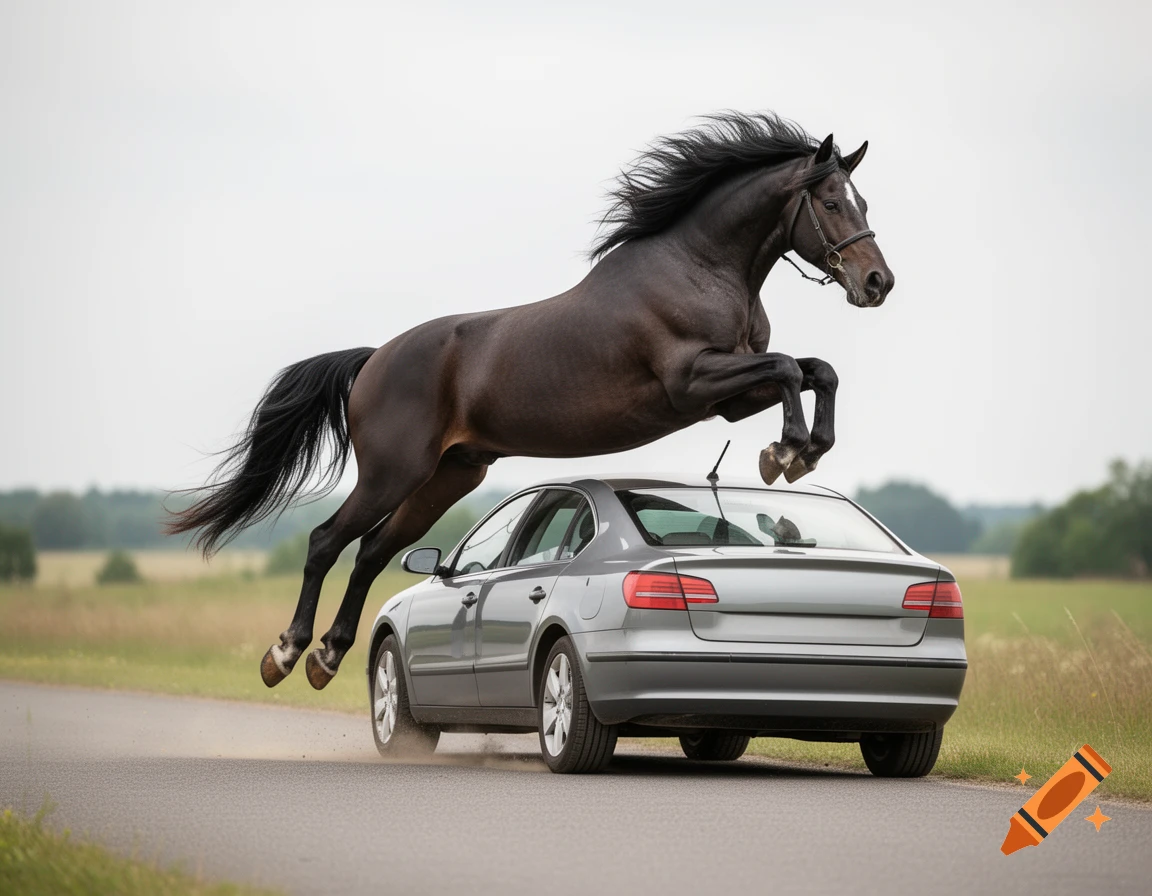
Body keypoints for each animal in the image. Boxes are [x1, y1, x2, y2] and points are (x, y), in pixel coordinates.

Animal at [167, 111, 895, 691]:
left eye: (861, 201)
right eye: (832, 202)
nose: (877, 283)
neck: (701, 268)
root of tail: (374, 359)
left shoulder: (730, 395)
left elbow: (816, 370)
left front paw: (797, 452)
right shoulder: (693, 382)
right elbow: (790, 367)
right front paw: (789, 452)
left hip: (449, 476)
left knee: (371, 551)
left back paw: (327, 657)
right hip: (392, 472)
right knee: (327, 542)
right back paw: (286, 654)